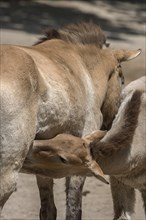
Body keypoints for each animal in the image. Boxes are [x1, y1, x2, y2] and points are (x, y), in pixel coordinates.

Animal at [0, 21, 141, 219]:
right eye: (121, 80)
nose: (110, 122)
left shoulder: (44, 156)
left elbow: (48, 207)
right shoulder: (79, 155)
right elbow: (73, 207)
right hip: (8, 171)